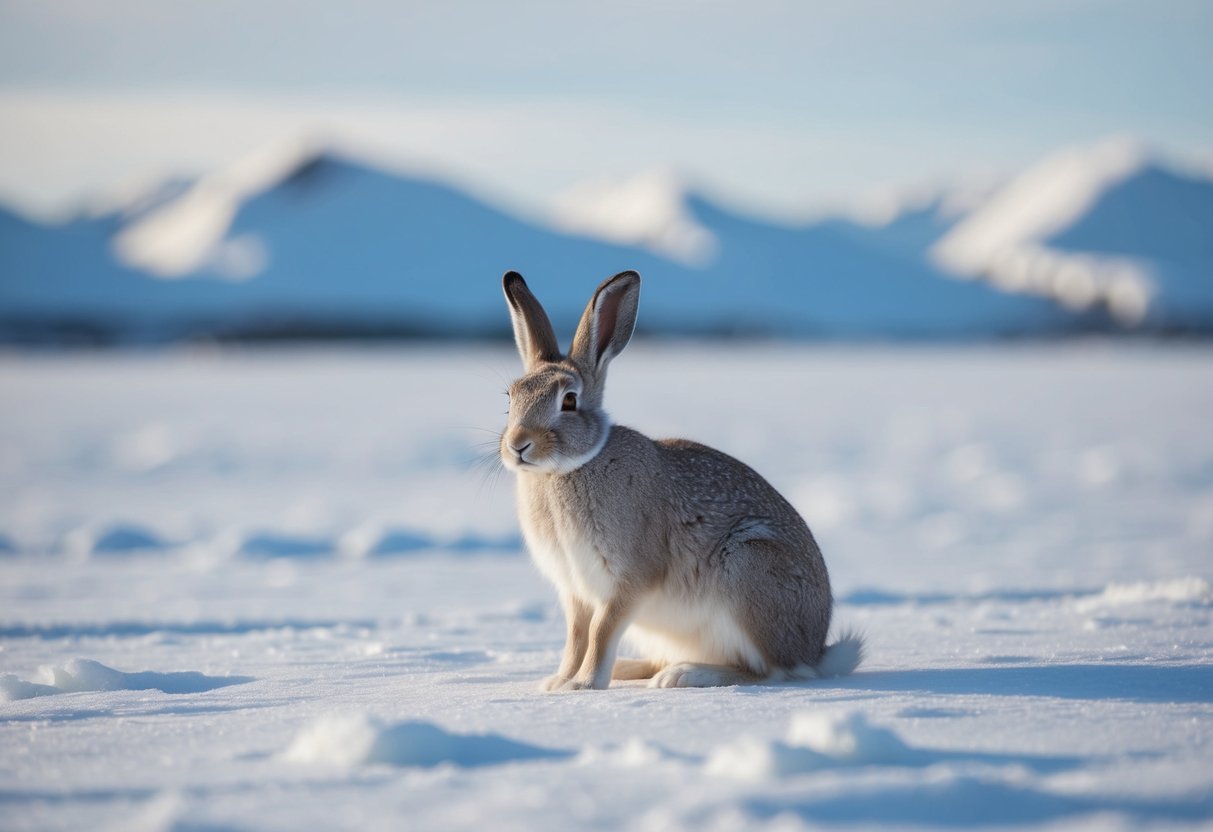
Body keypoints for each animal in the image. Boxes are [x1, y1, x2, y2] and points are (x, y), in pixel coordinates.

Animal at [499, 269, 863, 690]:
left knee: (771, 671)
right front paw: (557, 683)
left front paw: (584, 684)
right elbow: (577, 636)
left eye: (569, 401)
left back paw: (686, 674)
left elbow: (601, 631)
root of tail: (815, 649)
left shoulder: (629, 579)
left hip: (747, 570)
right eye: (510, 398)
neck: (568, 468)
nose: (518, 445)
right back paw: (634, 669)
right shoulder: (576, 591)